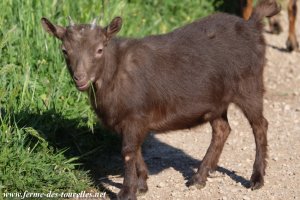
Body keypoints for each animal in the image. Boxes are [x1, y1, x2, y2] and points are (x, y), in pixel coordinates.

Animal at [41, 0, 280, 200]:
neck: (114, 71)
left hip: (249, 86)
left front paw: (127, 192)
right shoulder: (130, 120)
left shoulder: (135, 115)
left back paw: (256, 179)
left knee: (260, 125)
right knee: (222, 129)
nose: (79, 78)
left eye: (99, 49)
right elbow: (135, 149)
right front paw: (142, 184)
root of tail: (252, 25)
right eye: (64, 50)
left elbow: (128, 151)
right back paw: (198, 178)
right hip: (216, 101)